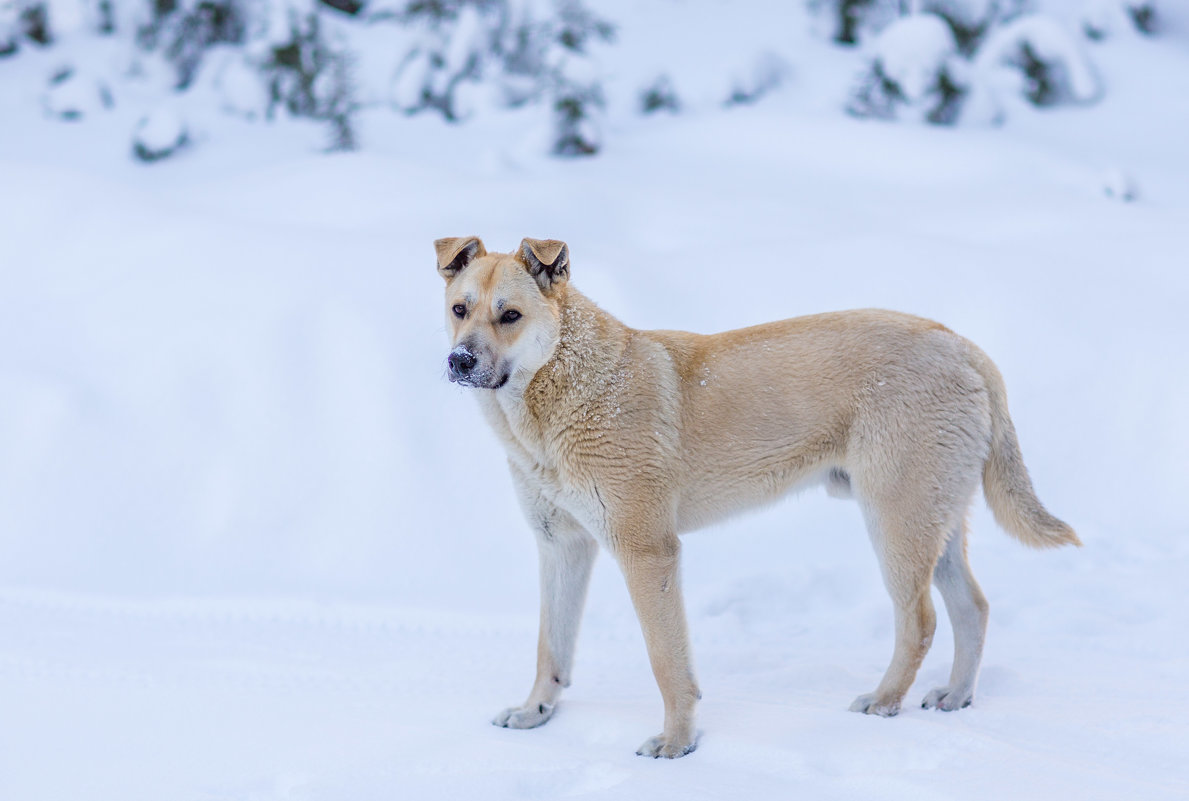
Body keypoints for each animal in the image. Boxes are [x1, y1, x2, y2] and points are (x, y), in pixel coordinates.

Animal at [435, 235, 1079, 755]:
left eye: (511, 315)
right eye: (459, 309)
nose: (458, 360)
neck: (563, 393)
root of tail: (963, 346)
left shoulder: (647, 552)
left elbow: (667, 662)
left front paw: (677, 744)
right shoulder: (562, 545)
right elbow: (551, 647)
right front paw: (536, 713)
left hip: (896, 520)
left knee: (920, 621)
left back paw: (883, 701)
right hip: (933, 520)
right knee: (973, 608)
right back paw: (956, 697)